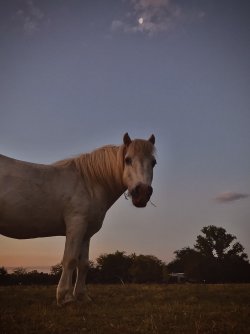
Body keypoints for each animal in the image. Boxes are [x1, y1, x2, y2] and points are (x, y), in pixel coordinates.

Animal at [0, 133, 156, 306]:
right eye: (128, 160)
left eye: (153, 162)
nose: (142, 193)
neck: (89, 183)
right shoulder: (76, 225)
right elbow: (70, 260)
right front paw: (65, 297)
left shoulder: (86, 233)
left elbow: (83, 264)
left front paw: (82, 296)